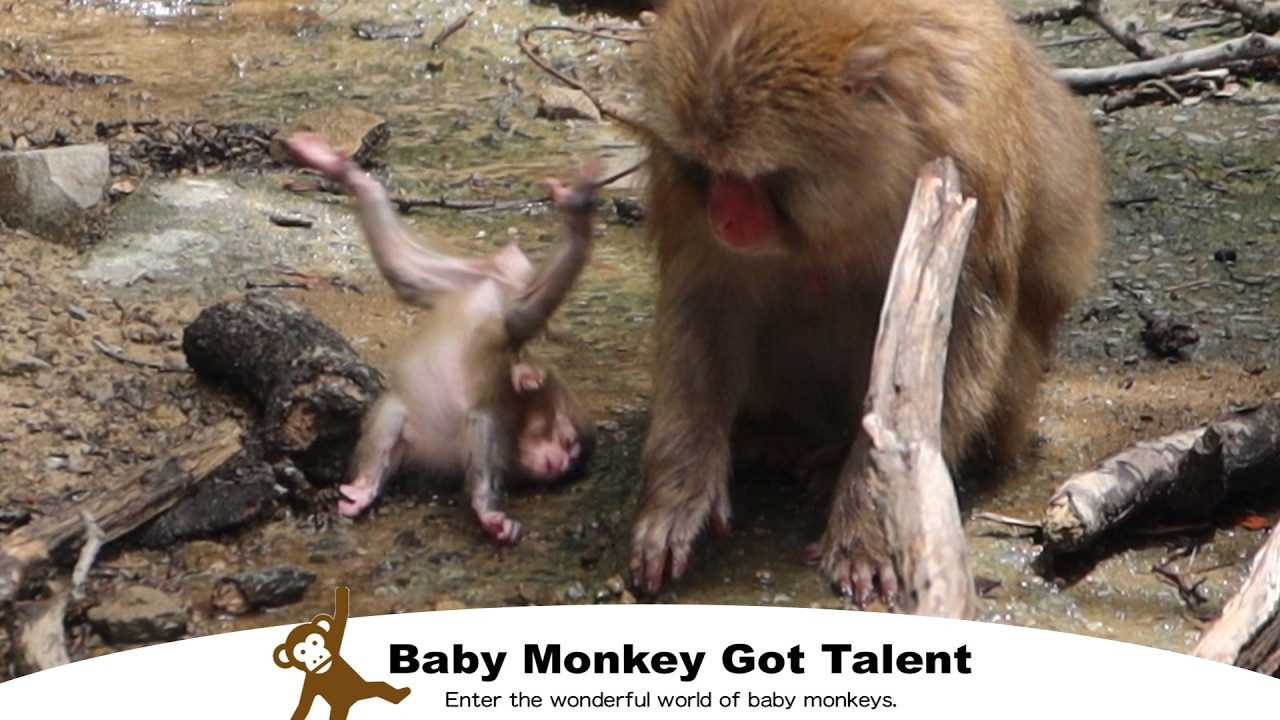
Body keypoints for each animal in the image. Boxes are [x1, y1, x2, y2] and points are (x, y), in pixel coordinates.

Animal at [274, 586, 411, 720]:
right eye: (302, 652)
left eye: (314, 642)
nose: (316, 657)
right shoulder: (310, 683)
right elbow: (304, 704)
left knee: (380, 686)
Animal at [282, 133, 597, 544]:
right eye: (568, 442)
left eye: (573, 458)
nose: (563, 462)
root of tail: (494, 284)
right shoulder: (501, 408)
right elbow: (480, 423)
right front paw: (489, 511)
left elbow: (395, 424)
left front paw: (364, 489)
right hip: (496, 309)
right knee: (520, 317)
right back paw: (575, 221)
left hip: (458, 284)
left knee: (405, 273)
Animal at [629, 0, 1105, 604]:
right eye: (708, 171)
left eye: (758, 179)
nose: (726, 220)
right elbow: (706, 303)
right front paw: (678, 496)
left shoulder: (965, 163)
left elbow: (951, 344)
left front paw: (871, 526)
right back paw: (779, 437)